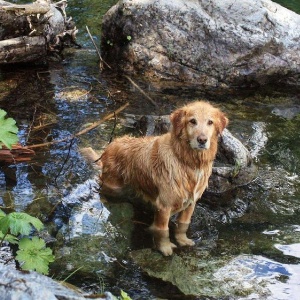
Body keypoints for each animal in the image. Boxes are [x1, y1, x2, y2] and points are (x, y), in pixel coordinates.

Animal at [82, 101, 227, 255]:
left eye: (210, 122)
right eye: (192, 121)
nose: (202, 140)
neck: (186, 161)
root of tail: (109, 146)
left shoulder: (191, 203)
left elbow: (183, 226)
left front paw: (183, 240)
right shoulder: (164, 206)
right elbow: (163, 231)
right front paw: (165, 247)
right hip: (113, 186)